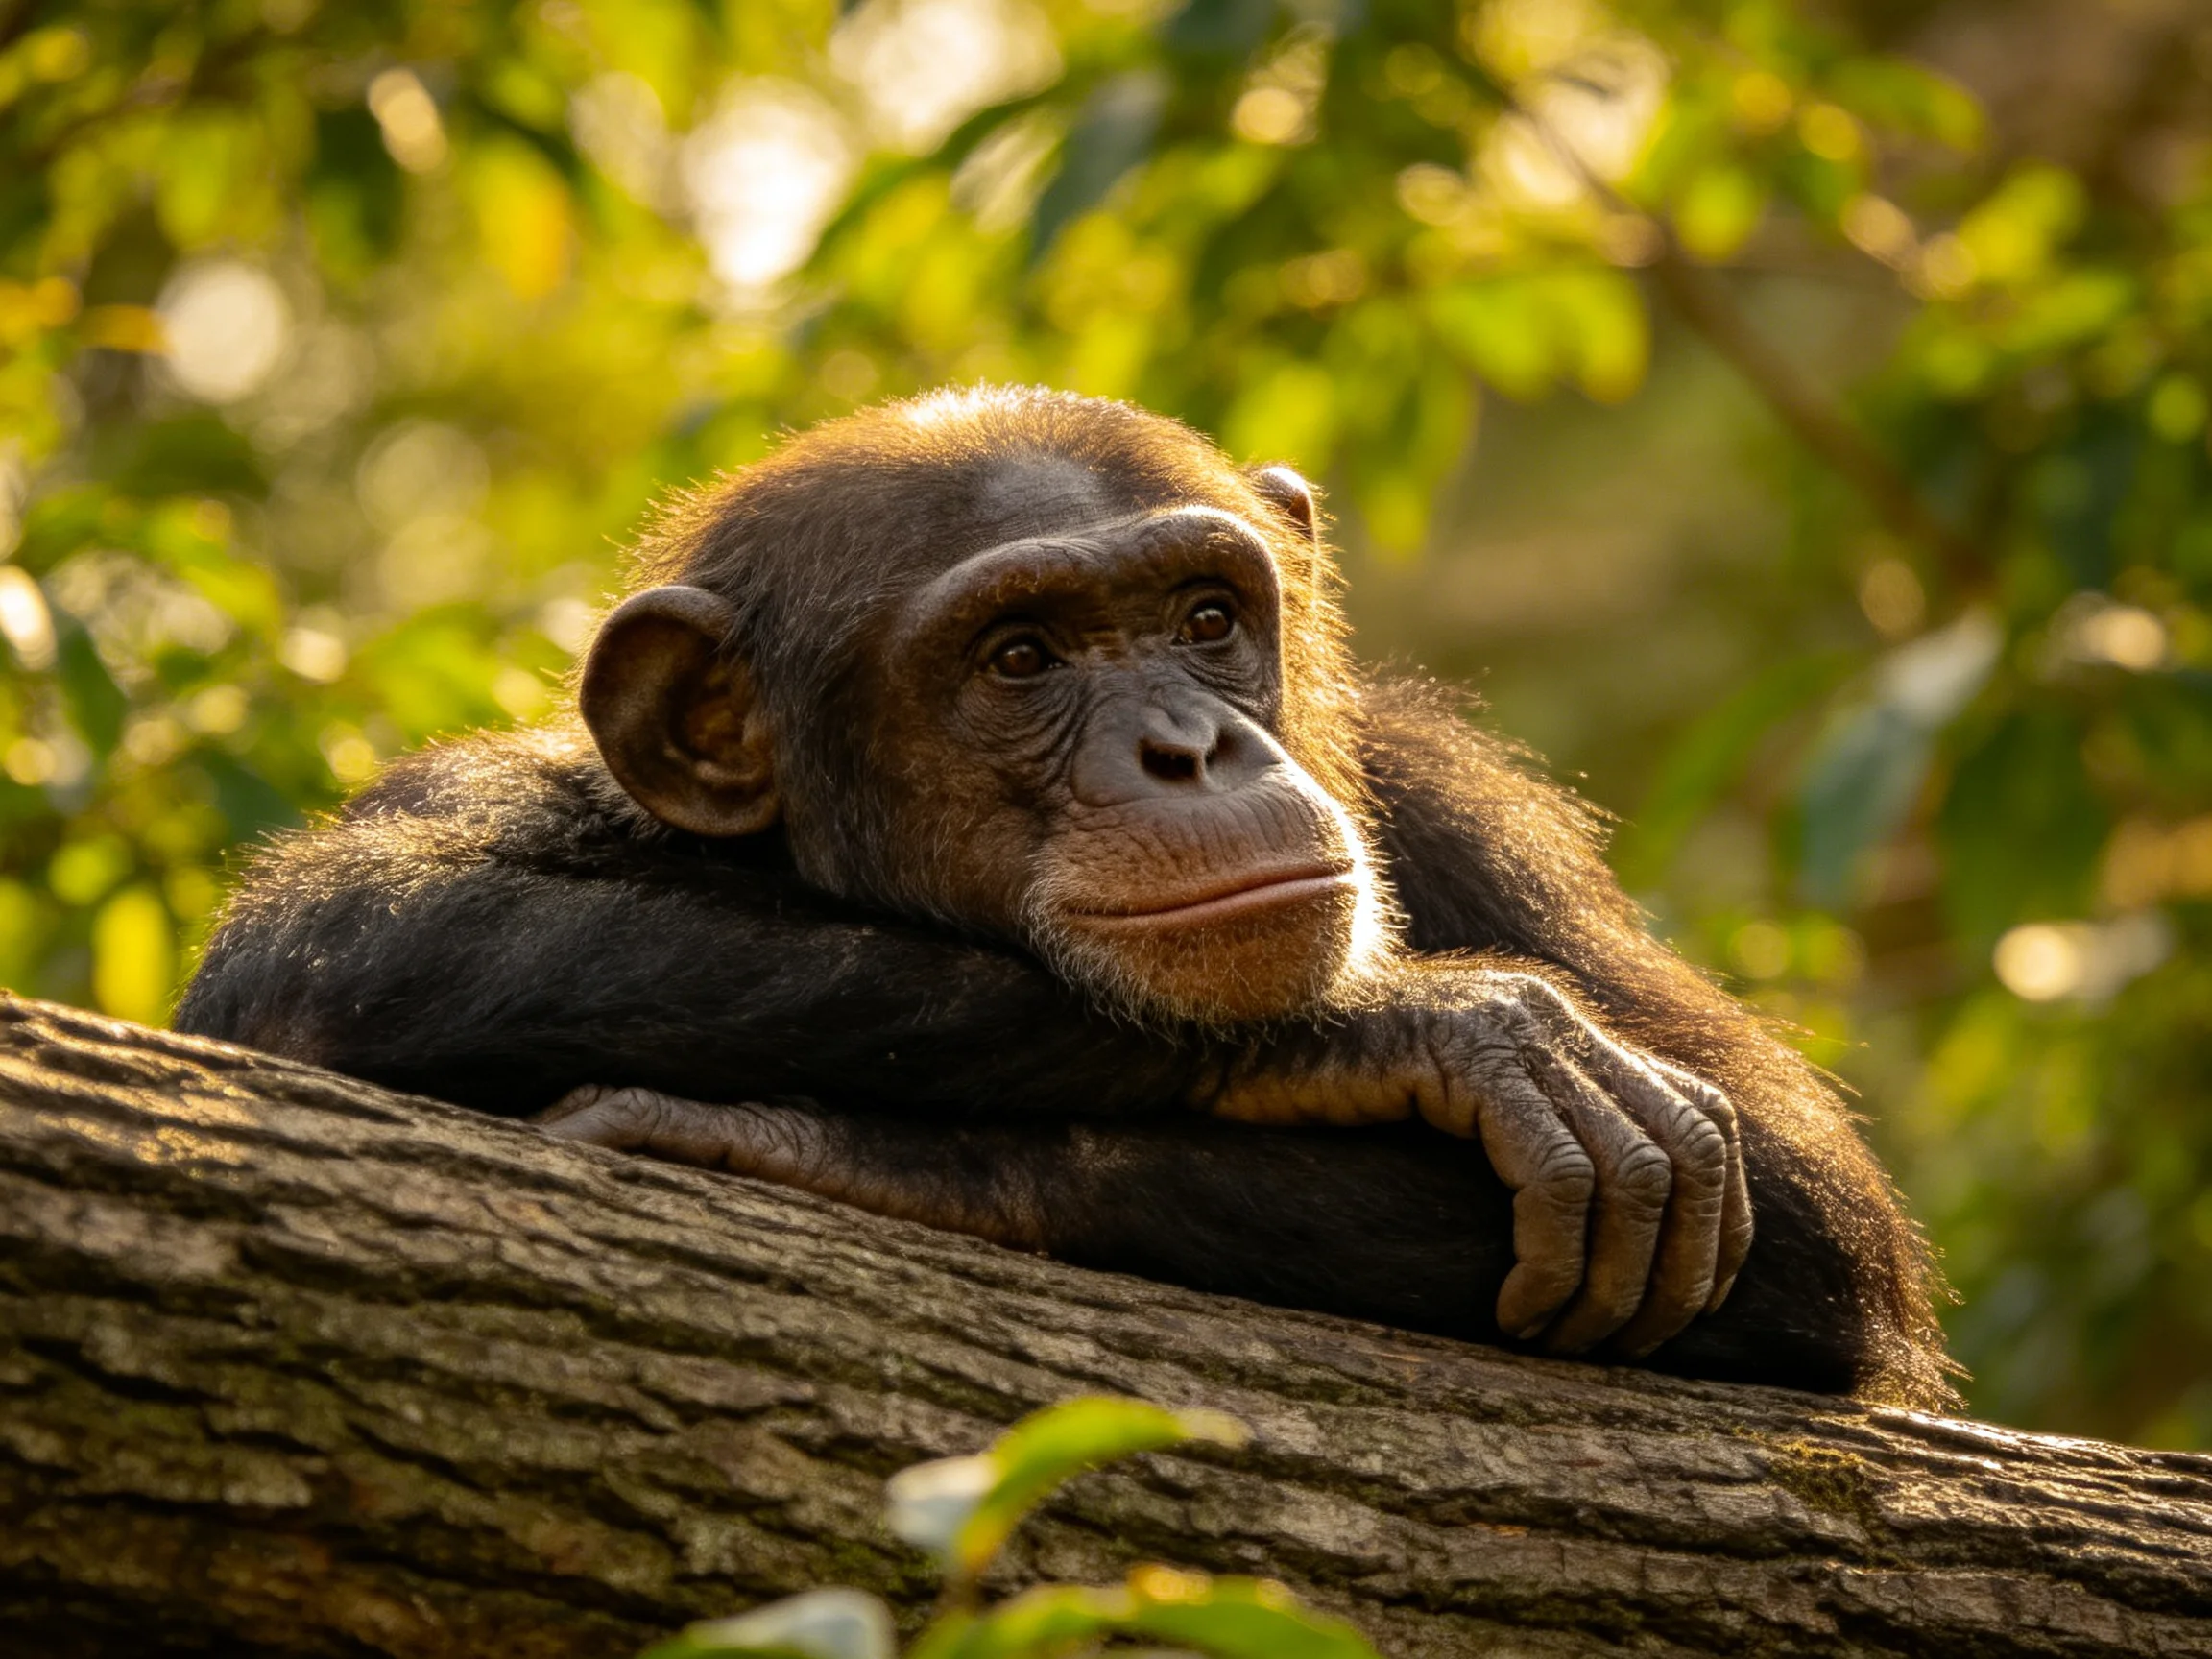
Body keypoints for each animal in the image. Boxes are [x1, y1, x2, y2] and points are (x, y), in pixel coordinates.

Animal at [176, 386, 1951, 1406]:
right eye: (1018, 656)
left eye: (1202, 616)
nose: (1189, 747)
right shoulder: (456, 813)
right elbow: (341, 950)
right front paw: (1425, 1028)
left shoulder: (1450, 800)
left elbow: (1800, 1202)